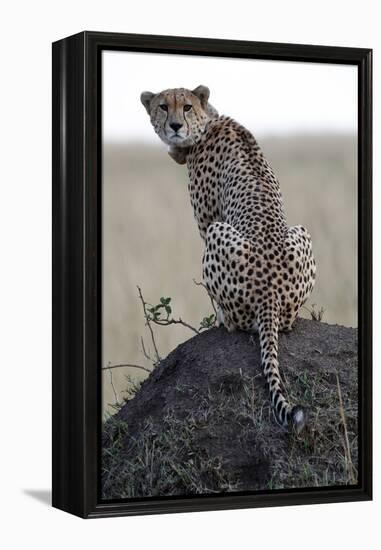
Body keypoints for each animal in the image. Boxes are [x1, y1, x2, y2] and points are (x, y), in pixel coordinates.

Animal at [141, 84, 316, 434]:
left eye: (187, 106)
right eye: (164, 106)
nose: (175, 127)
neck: (208, 122)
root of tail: (270, 294)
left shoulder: (208, 220)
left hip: (217, 233)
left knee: (237, 322)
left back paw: (222, 319)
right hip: (301, 232)